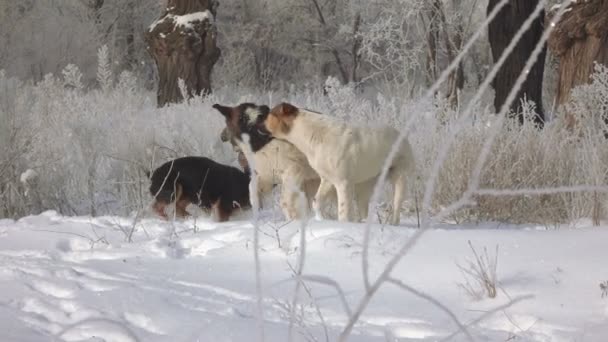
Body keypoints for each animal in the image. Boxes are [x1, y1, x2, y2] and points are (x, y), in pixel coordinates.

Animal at [214, 102, 376, 219]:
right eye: (242, 116)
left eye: (256, 107)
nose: (263, 110)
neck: (261, 144)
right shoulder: (264, 176)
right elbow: (252, 190)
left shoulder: (294, 171)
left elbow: (285, 201)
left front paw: (292, 219)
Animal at [264, 101, 416, 224]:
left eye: (269, 115)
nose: (259, 119)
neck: (313, 133)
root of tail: (402, 136)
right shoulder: (327, 180)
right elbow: (317, 202)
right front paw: (321, 220)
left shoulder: (344, 184)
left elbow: (343, 213)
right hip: (364, 186)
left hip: (400, 178)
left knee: (396, 207)